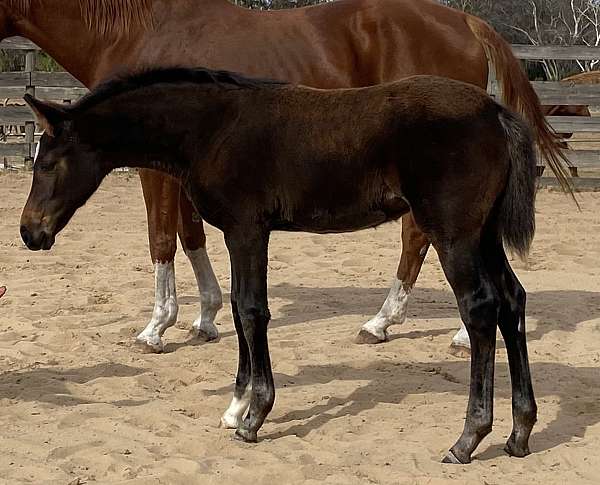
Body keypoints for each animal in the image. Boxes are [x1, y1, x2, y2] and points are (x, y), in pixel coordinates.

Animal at [0, 0, 572, 352]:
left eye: (48, 164)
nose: (29, 233)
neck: (134, 30)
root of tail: (463, 20)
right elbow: (191, 234)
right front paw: (205, 318)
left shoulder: (151, 168)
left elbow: (162, 238)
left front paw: (157, 327)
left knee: (422, 239)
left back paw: (408, 326)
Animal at [22, 67, 540, 462]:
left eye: (46, 164)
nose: (29, 233)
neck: (213, 129)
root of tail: (495, 111)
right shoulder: (242, 235)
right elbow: (238, 310)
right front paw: (235, 406)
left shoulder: (247, 231)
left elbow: (252, 312)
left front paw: (254, 416)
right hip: (484, 234)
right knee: (513, 300)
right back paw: (520, 431)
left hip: (454, 236)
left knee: (480, 309)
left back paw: (468, 438)